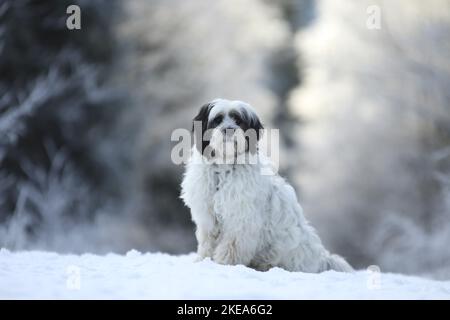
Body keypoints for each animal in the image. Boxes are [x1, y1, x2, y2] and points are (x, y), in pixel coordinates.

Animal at [179, 98, 352, 272]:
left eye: (238, 120)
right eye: (218, 120)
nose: (229, 130)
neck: (224, 168)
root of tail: (321, 260)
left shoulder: (242, 217)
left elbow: (232, 244)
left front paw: (225, 263)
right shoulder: (207, 216)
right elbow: (207, 241)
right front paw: (204, 259)